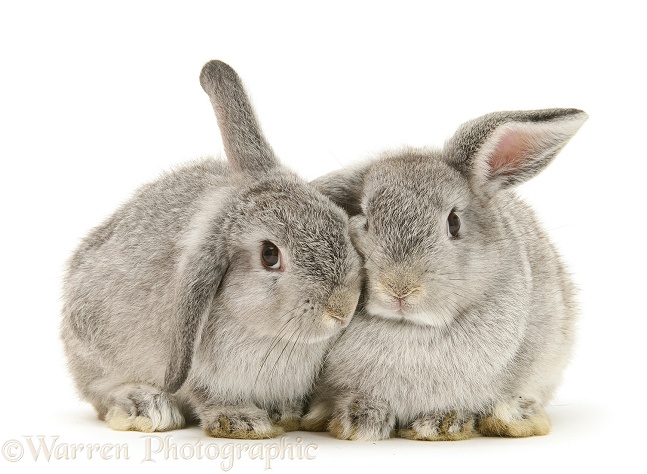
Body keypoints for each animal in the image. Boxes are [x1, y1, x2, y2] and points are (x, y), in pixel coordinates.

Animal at [59, 61, 364, 438]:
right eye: (269, 255)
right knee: (100, 393)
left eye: (339, 219)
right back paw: (144, 406)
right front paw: (241, 421)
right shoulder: (193, 371)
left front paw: (284, 413)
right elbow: (204, 395)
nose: (342, 309)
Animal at [302, 107, 588, 440]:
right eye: (364, 220)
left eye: (454, 222)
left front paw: (442, 422)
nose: (399, 289)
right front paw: (359, 419)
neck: (410, 328)